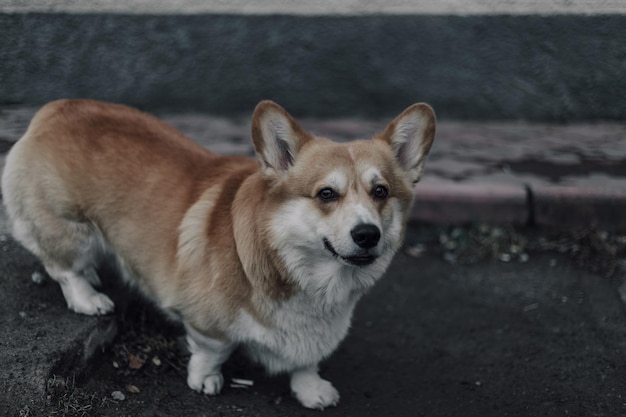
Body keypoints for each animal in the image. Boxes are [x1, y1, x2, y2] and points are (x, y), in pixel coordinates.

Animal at [2, 99, 434, 408]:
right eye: (326, 194)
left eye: (380, 191)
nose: (367, 234)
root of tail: (54, 108)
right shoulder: (206, 322)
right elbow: (214, 350)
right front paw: (206, 379)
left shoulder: (317, 332)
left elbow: (307, 361)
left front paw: (311, 389)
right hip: (69, 228)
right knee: (64, 267)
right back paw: (89, 297)